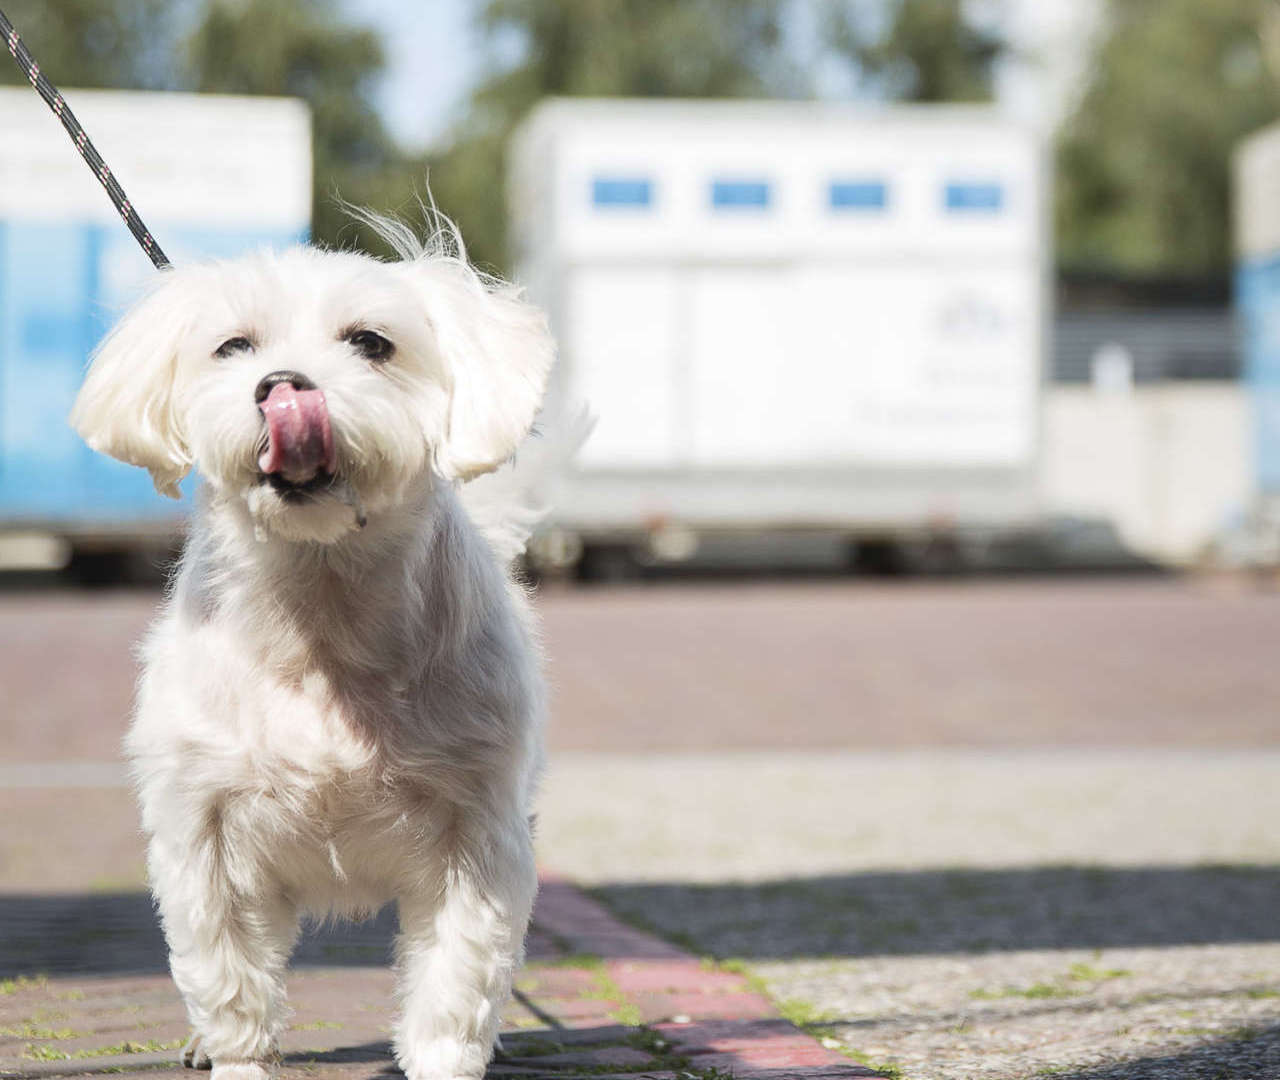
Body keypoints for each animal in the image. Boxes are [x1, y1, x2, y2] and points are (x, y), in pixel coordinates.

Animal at [66, 217, 555, 1080]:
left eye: (372, 342)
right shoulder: (206, 830)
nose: (283, 386)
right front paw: (236, 1055)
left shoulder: (476, 837)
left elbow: (454, 983)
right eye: (233, 346)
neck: (323, 615)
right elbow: (229, 977)